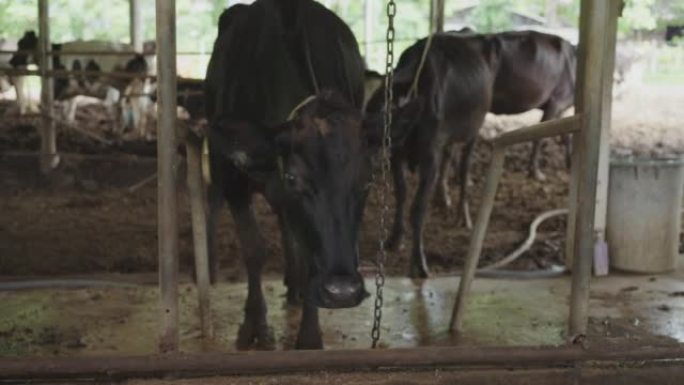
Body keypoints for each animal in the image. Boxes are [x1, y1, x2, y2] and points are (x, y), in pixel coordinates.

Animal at [10, 31, 152, 137]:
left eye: (22, 45)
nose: (11, 61)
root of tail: (137, 55)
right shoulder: (72, 91)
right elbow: (68, 113)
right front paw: (67, 131)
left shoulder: (57, 87)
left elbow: (47, 107)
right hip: (137, 89)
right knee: (140, 111)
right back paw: (137, 135)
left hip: (121, 89)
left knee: (120, 109)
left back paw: (119, 134)